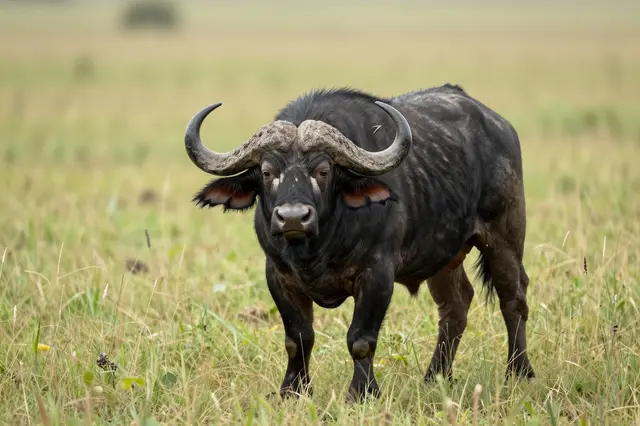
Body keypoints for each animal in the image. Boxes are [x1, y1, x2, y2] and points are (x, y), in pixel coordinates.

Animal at [184, 84, 535, 402]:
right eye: (267, 171)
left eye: (323, 170)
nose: (294, 218)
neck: (318, 247)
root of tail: (499, 125)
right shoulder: (279, 276)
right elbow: (297, 339)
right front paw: (292, 391)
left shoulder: (377, 275)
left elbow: (361, 340)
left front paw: (361, 393)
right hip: (444, 257)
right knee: (456, 305)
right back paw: (436, 377)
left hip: (503, 237)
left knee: (513, 300)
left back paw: (519, 373)